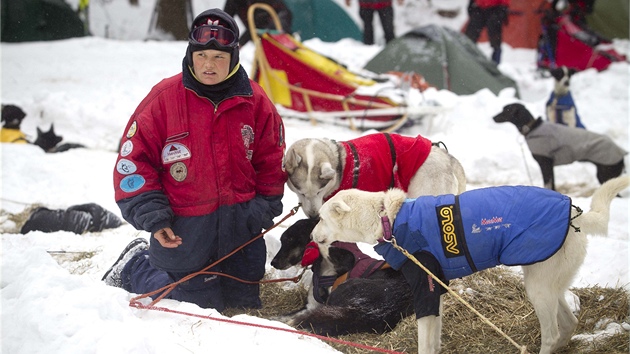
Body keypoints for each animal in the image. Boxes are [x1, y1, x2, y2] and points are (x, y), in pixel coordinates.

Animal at [312, 176, 630, 354]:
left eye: (322, 218)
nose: (313, 237)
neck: (389, 219)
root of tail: (576, 215)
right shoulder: (437, 289)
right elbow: (434, 338)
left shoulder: (425, 288)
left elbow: (425, 343)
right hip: (548, 286)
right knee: (568, 324)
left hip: (538, 288)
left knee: (551, 334)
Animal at [496, 102, 628, 191]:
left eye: (506, 110)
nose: (493, 117)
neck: (533, 127)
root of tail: (622, 154)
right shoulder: (550, 167)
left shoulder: (545, 165)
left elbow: (548, 184)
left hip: (604, 175)